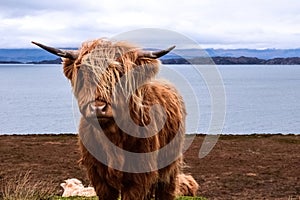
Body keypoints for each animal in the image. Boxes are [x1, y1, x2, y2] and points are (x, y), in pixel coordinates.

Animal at [33, 39, 188, 200]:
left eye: (120, 75)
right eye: (84, 74)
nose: (98, 108)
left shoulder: (139, 175)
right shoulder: (98, 175)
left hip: (170, 165)